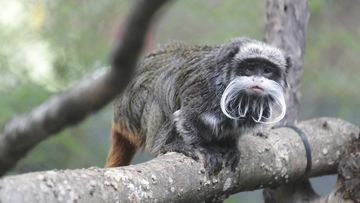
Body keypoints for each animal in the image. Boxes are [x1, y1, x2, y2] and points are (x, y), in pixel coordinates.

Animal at [105, 37, 290, 174]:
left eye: (267, 70)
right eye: (250, 68)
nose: (258, 79)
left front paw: (230, 145)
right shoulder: (203, 90)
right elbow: (185, 118)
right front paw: (204, 147)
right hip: (132, 110)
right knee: (162, 86)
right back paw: (164, 145)